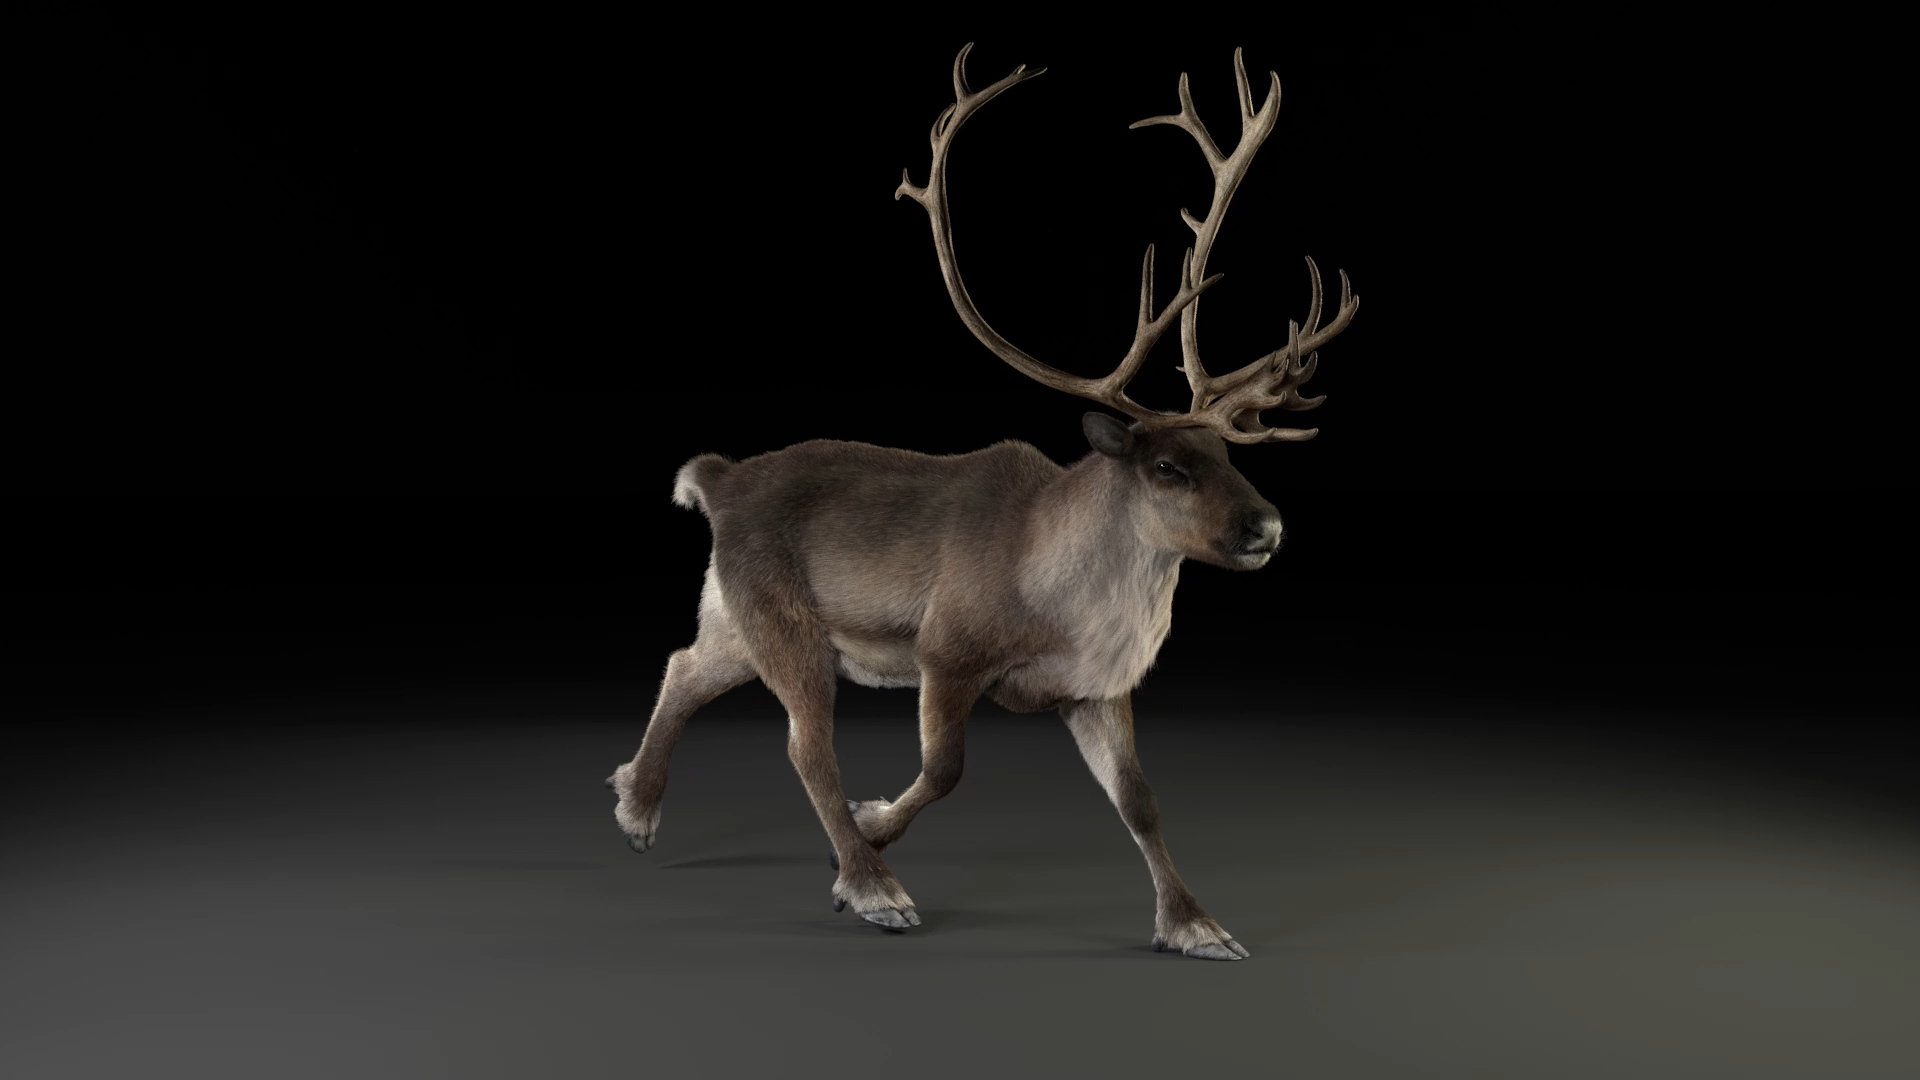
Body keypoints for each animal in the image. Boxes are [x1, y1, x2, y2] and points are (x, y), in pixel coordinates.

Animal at [606, 43, 1357, 960]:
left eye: (1225, 453)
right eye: (1166, 466)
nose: (1268, 527)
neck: (1061, 598)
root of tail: (717, 480)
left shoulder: (1096, 688)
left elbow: (1140, 800)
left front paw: (1195, 925)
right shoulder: (946, 650)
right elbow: (943, 769)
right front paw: (868, 831)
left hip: (735, 617)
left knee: (685, 665)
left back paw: (635, 805)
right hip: (782, 620)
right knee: (805, 745)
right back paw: (872, 885)